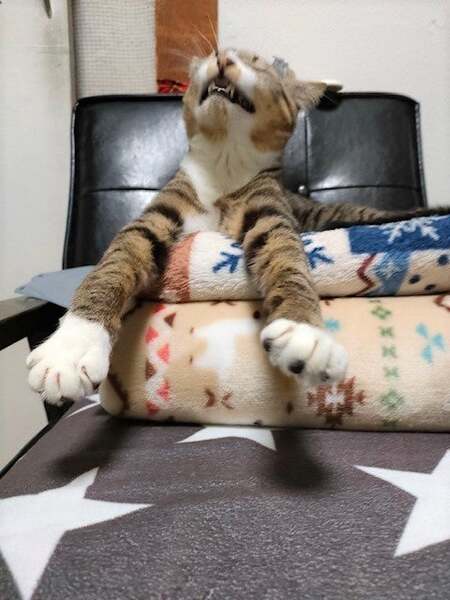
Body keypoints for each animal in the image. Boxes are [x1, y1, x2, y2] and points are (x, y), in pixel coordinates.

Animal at [27, 48, 445, 403]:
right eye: (218, 53)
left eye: (260, 65)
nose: (222, 57)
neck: (224, 163)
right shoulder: (158, 213)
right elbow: (115, 263)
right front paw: (72, 346)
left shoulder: (269, 212)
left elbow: (286, 257)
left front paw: (305, 331)